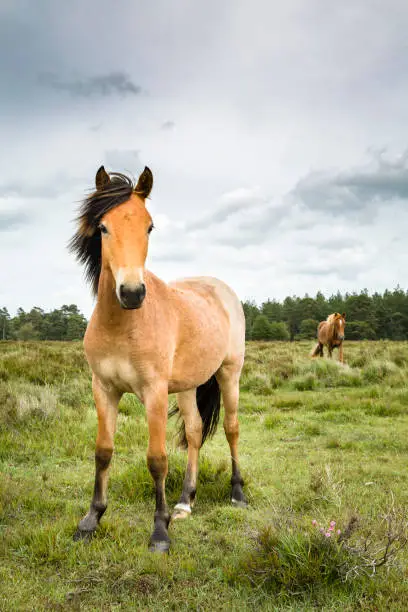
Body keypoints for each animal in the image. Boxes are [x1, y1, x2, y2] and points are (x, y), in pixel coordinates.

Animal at [69, 165, 247, 552]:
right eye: (103, 227)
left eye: (149, 227)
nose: (132, 293)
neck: (123, 325)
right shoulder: (103, 389)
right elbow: (103, 451)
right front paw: (90, 521)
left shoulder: (153, 392)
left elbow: (157, 459)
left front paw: (160, 532)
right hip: (188, 385)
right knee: (195, 432)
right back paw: (185, 501)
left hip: (229, 374)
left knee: (231, 429)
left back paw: (238, 493)